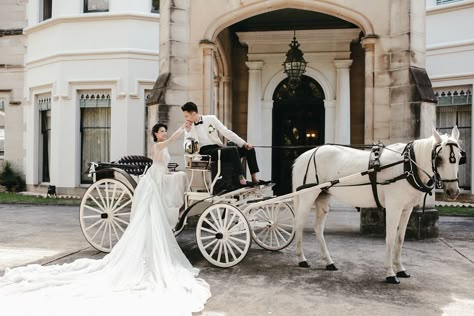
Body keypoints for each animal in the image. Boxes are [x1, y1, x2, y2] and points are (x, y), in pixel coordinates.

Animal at [292, 126, 462, 284]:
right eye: (439, 159)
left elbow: (400, 239)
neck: (407, 166)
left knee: (318, 228)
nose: (453, 191)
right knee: (299, 224)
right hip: (307, 196)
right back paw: (301, 258)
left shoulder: (406, 209)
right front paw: (390, 273)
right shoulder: (394, 208)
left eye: (460, 157)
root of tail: (303, 156)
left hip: (323, 197)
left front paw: (400, 269)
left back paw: (328, 262)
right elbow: (391, 238)